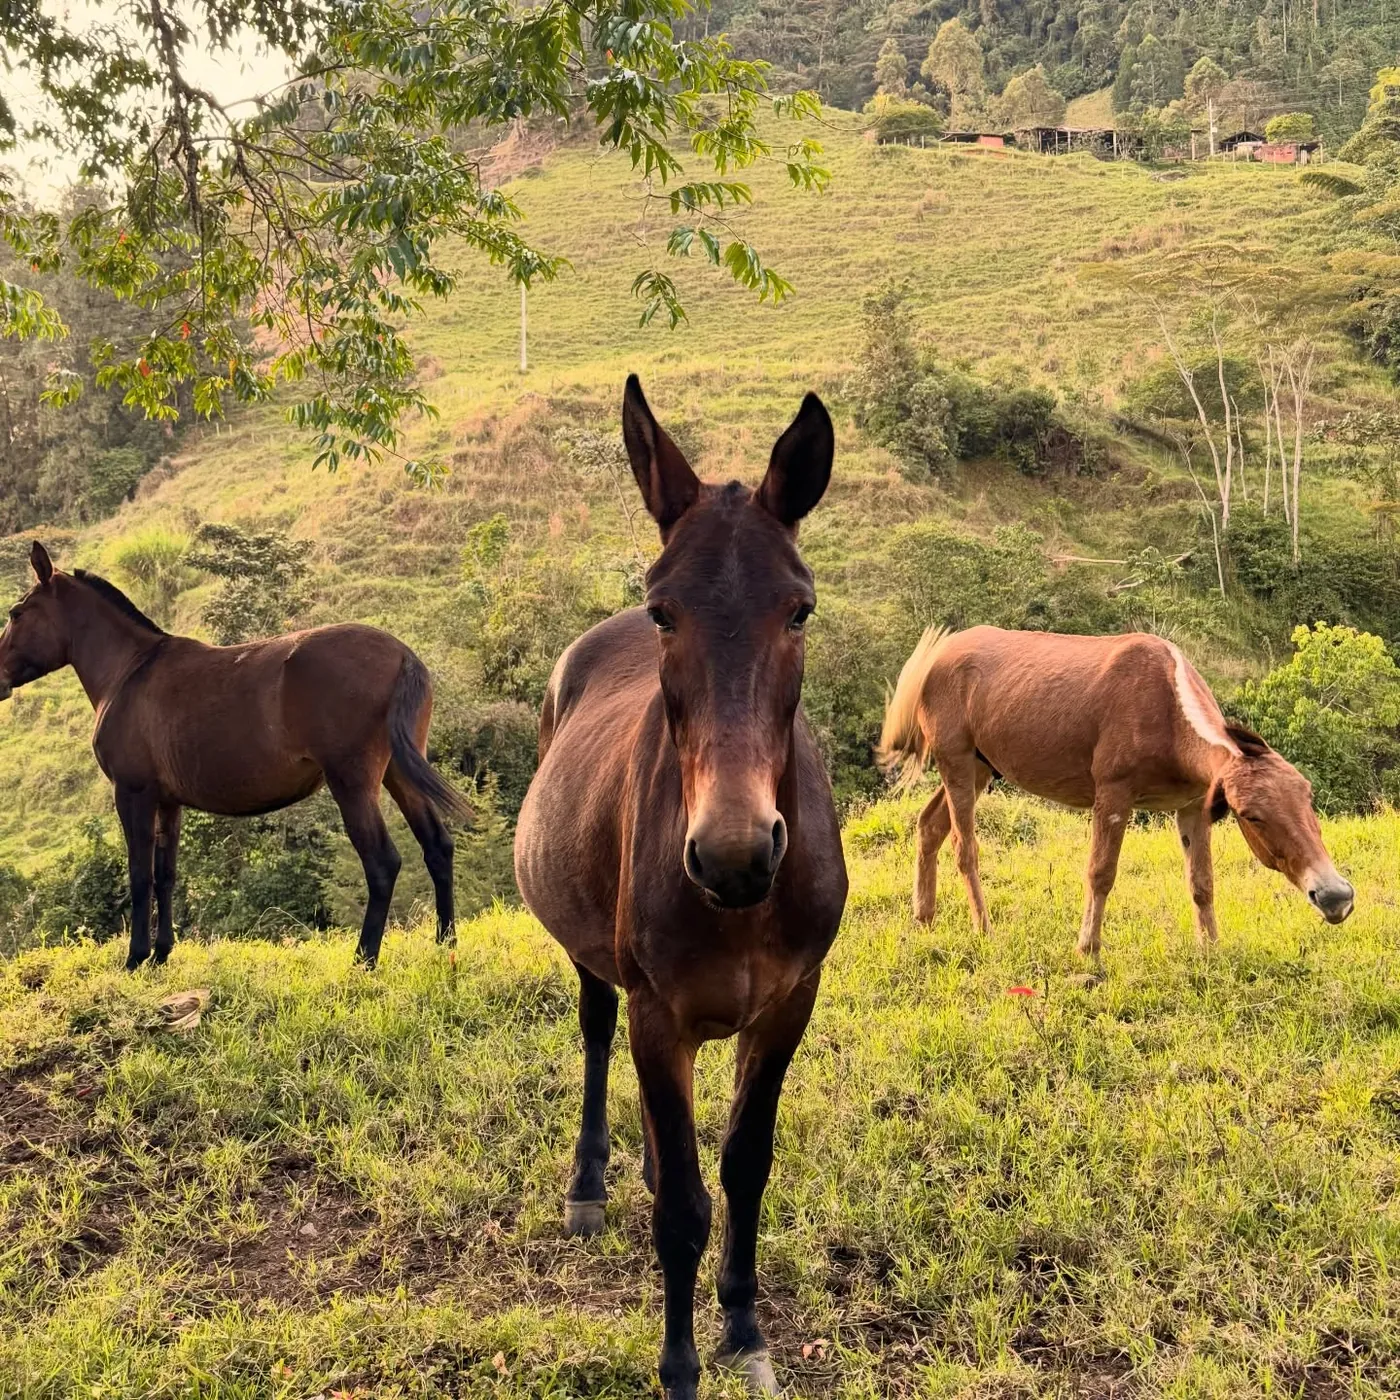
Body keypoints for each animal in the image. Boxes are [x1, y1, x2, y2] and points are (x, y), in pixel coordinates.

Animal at [0, 542, 469, 970]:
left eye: (16, 613)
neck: (130, 671)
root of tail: (401, 653)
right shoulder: (168, 802)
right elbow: (165, 875)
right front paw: (161, 954)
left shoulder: (133, 794)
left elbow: (139, 876)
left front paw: (136, 958)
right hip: (399, 773)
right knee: (437, 847)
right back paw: (445, 943)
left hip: (353, 784)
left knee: (382, 863)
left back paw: (364, 958)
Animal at [514, 377, 847, 1400]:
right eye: (665, 613)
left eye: (799, 611)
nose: (735, 854)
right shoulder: (659, 1012)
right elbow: (685, 1215)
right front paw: (680, 1364)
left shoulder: (789, 1006)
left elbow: (743, 1167)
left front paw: (742, 1327)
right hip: (596, 959)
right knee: (595, 1034)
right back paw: (590, 1186)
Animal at [878, 624, 1354, 956]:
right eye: (1252, 814)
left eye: (1308, 797)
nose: (1335, 897)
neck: (1166, 712)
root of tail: (936, 657)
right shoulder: (1112, 797)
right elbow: (1101, 873)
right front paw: (1088, 950)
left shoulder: (1192, 807)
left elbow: (1202, 882)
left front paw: (1212, 950)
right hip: (957, 764)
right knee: (965, 848)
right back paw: (984, 928)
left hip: (978, 769)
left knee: (929, 827)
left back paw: (924, 918)